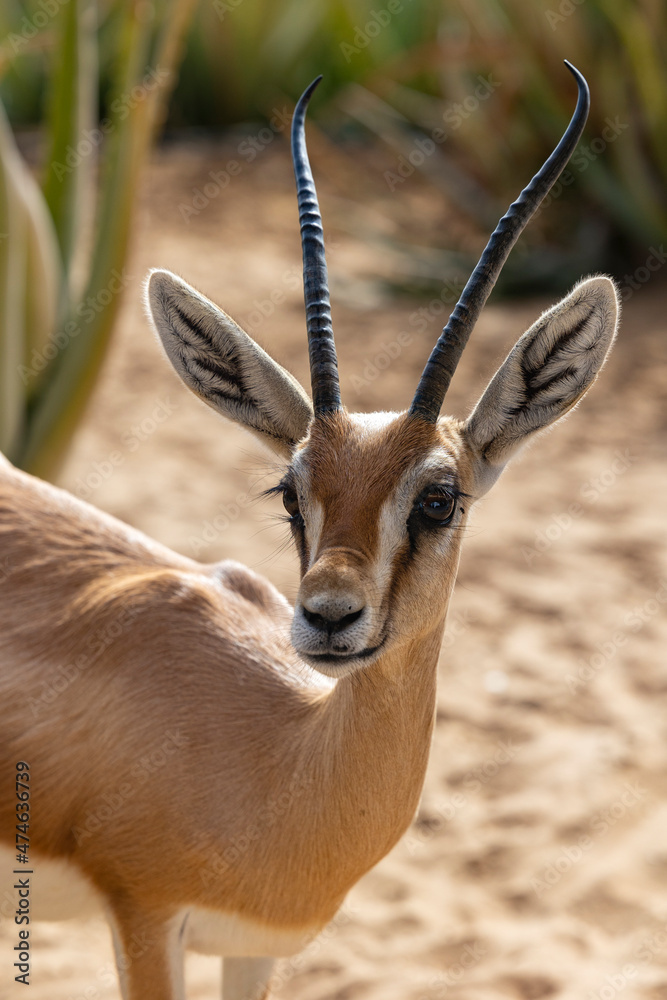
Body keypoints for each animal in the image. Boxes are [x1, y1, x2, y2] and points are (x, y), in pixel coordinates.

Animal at [0, 62, 618, 1000]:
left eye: (440, 497)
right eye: (290, 493)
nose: (329, 617)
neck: (284, 765)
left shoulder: (255, 945)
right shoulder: (142, 921)